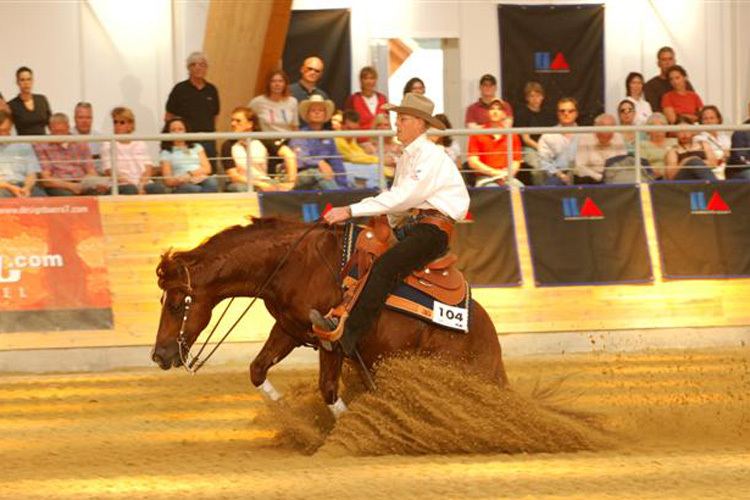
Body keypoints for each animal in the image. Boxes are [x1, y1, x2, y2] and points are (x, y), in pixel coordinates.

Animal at [154, 219, 512, 406]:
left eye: (175, 304)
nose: (159, 355)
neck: (292, 262)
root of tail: (488, 335)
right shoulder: (289, 330)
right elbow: (257, 369)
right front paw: (289, 415)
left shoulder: (331, 341)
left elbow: (327, 389)